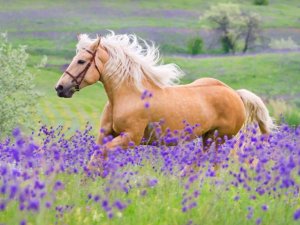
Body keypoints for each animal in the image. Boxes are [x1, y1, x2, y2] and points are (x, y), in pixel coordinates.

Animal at [55, 31, 276, 172]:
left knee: (215, 163)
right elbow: (95, 158)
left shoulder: (131, 138)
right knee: (200, 161)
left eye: (81, 61)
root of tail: (235, 94)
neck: (128, 95)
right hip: (208, 138)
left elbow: (102, 155)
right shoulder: (106, 135)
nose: (60, 88)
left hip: (220, 139)